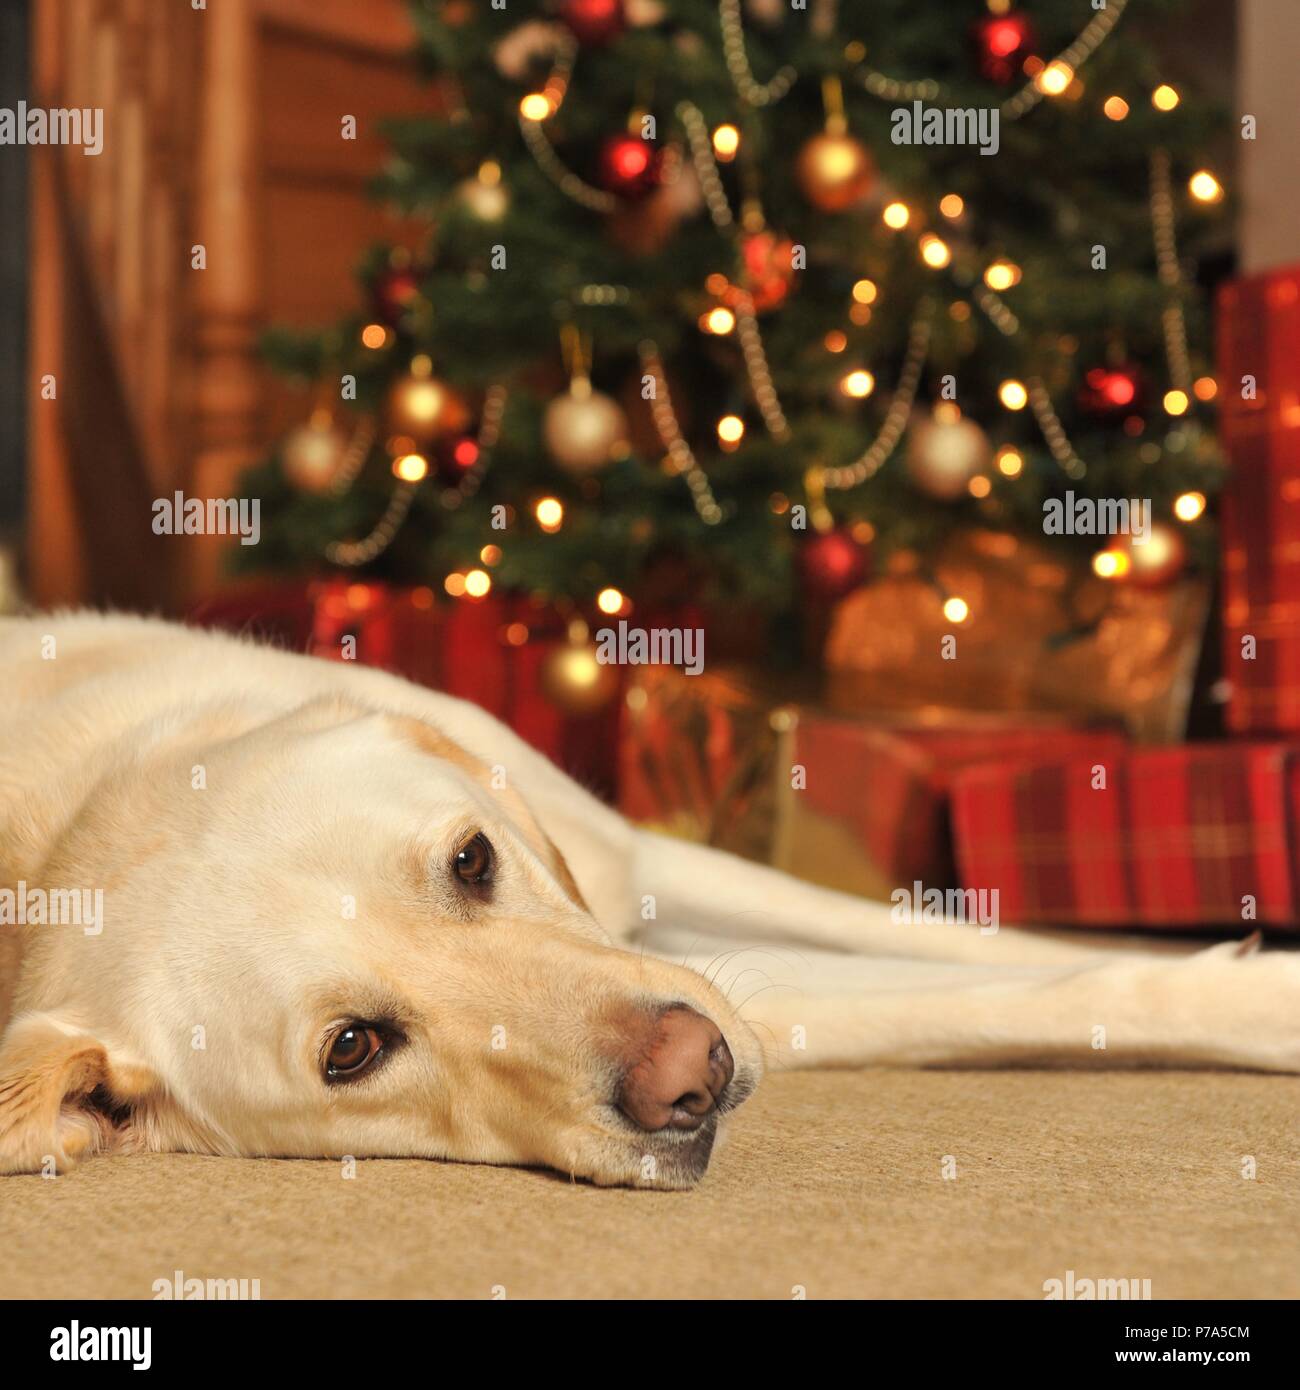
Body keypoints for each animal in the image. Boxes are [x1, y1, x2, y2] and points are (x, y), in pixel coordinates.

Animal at [0, 614, 1295, 1189]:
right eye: (353, 1049)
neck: (78, 818)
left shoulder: (638, 865)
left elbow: (973, 949)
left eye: (473, 860)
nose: (693, 1071)